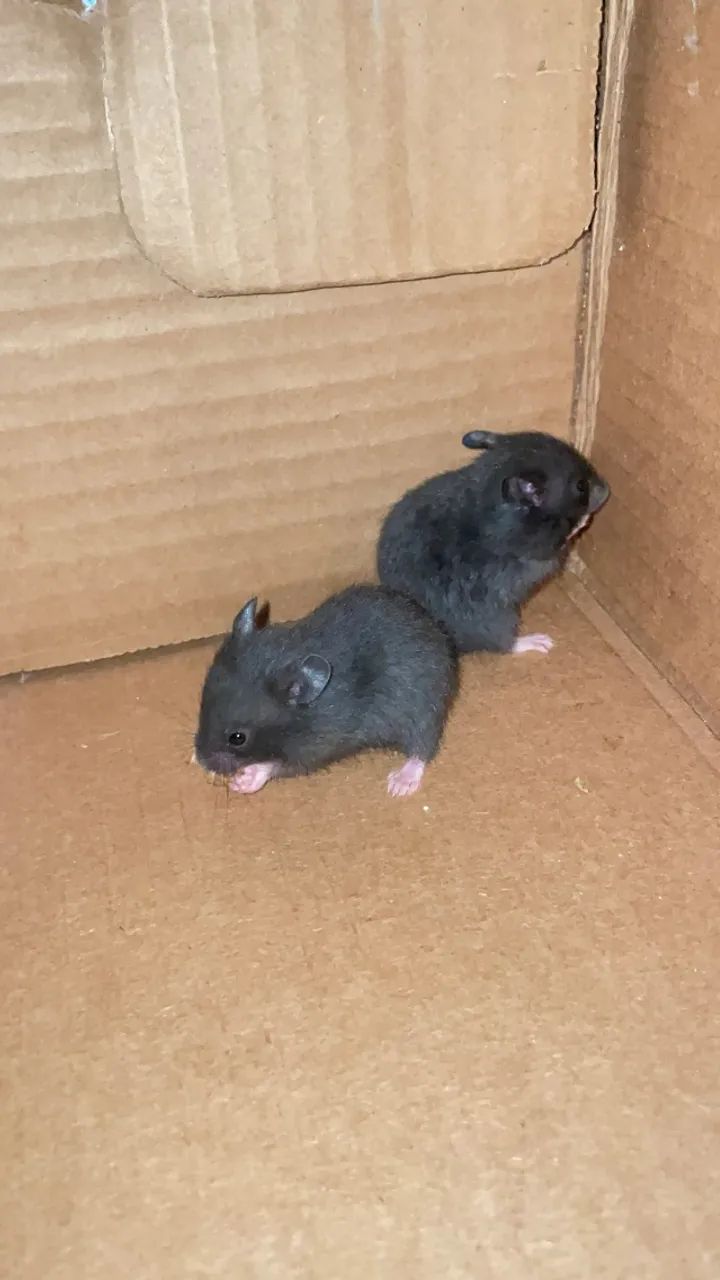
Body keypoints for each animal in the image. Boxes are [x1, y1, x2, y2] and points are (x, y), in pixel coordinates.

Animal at [194, 584, 457, 798]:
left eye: (237, 738)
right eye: (202, 707)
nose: (202, 762)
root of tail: (433, 627)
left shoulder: (318, 745)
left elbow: (275, 766)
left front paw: (241, 781)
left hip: (423, 708)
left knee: (423, 746)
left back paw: (399, 784)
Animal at [377, 429, 609, 655]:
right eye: (580, 485)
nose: (607, 489)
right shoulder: (542, 550)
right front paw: (583, 519)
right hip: (499, 618)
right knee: (504, 644)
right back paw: (541, 642)